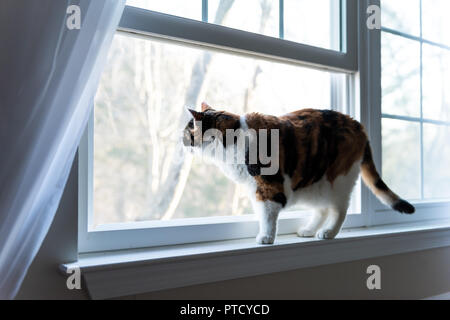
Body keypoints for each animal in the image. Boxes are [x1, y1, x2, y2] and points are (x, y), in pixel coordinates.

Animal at [183, 102, 414, 245]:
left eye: (187, 131)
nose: (180, 140)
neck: (232, 139)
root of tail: (359, 126)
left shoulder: (268, 186)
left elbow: (267, 214)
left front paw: (266, 237)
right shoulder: (254, 188)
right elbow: (262, 212)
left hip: (338, 180)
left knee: (339, 209)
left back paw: (328, 232)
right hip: (313, 183)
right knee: (322, 209)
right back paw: (308, 230)